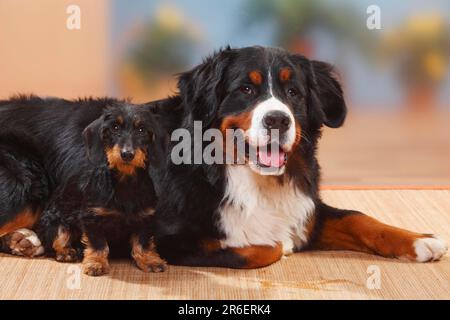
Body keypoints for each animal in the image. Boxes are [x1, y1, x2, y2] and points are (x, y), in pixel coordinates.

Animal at [154, 46, 446, 268]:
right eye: (246, 89)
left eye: (293, 92)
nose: (277, 120)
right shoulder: (170, 240)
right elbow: (256, 250)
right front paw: (280, 244)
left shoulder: (308, 213)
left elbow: (358, 218)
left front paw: (419, 239)